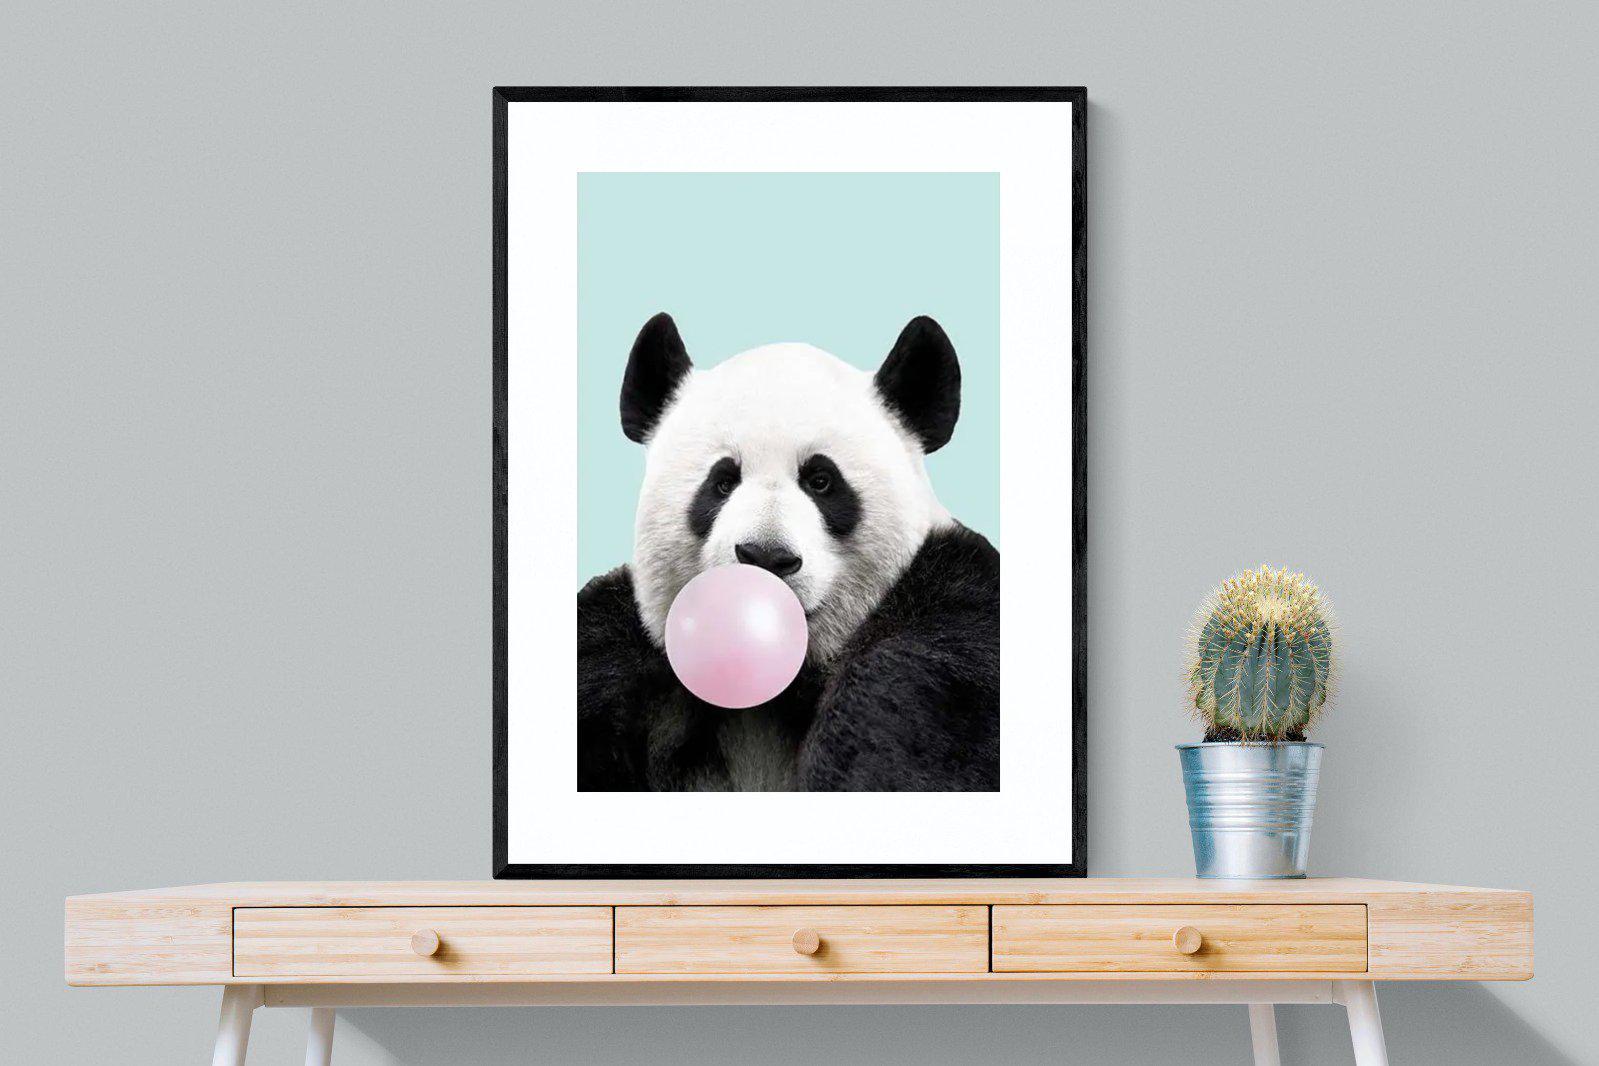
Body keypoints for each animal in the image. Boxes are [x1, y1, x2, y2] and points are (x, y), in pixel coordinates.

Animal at [577, 312, 999, 792]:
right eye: (723, 482)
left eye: (821, 481)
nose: (765, 557)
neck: (776, 690)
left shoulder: (954, 619)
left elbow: (907, 707)